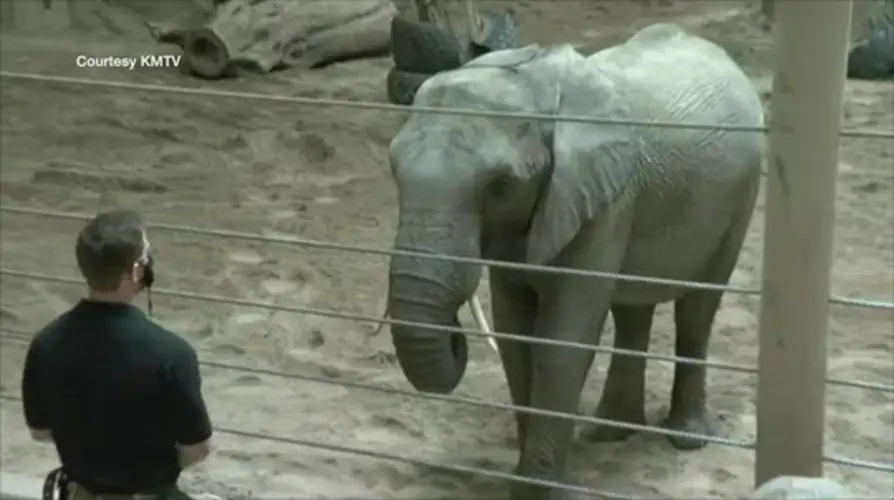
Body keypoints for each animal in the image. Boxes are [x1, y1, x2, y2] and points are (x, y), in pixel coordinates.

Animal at [386, 23, 765, 500]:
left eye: (500, 185)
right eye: (393, 170)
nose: (455, 332)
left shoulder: (602, 197)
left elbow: (562, 339)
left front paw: (539, 489)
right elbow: (515, 332)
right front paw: (524, 485)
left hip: (741, 197)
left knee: (697, 310)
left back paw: (686, 439)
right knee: (631, 310)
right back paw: (611, 433)